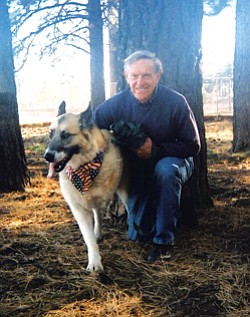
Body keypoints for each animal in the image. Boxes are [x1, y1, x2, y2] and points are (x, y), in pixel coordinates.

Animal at [43, 102, 128, 272]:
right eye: (50, 134)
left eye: (65, 135)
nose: (47, 156)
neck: (85, 168)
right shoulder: (80, 210)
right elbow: (88, 238)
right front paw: (94, 260)